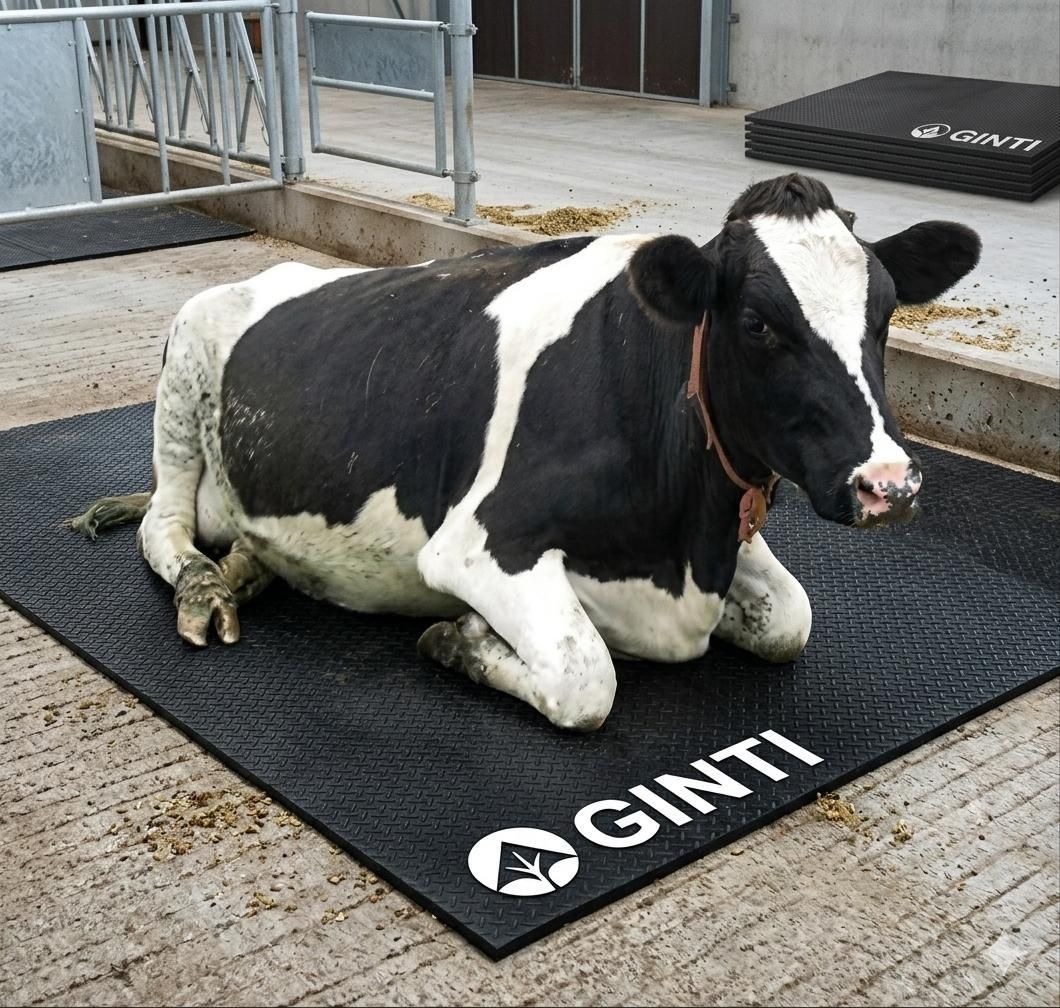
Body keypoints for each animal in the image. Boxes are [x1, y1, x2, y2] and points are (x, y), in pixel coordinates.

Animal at [69, 173, 981, 731]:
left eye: (887, 312)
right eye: (757, 323)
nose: (888, 484)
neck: (686, 541)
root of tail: (266, 275)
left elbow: (792, 619)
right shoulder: (478, 545)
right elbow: (587, 679)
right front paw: (459, 641)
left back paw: (252, 568)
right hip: (181, 383)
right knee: (163, 527)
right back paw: (206, 587)